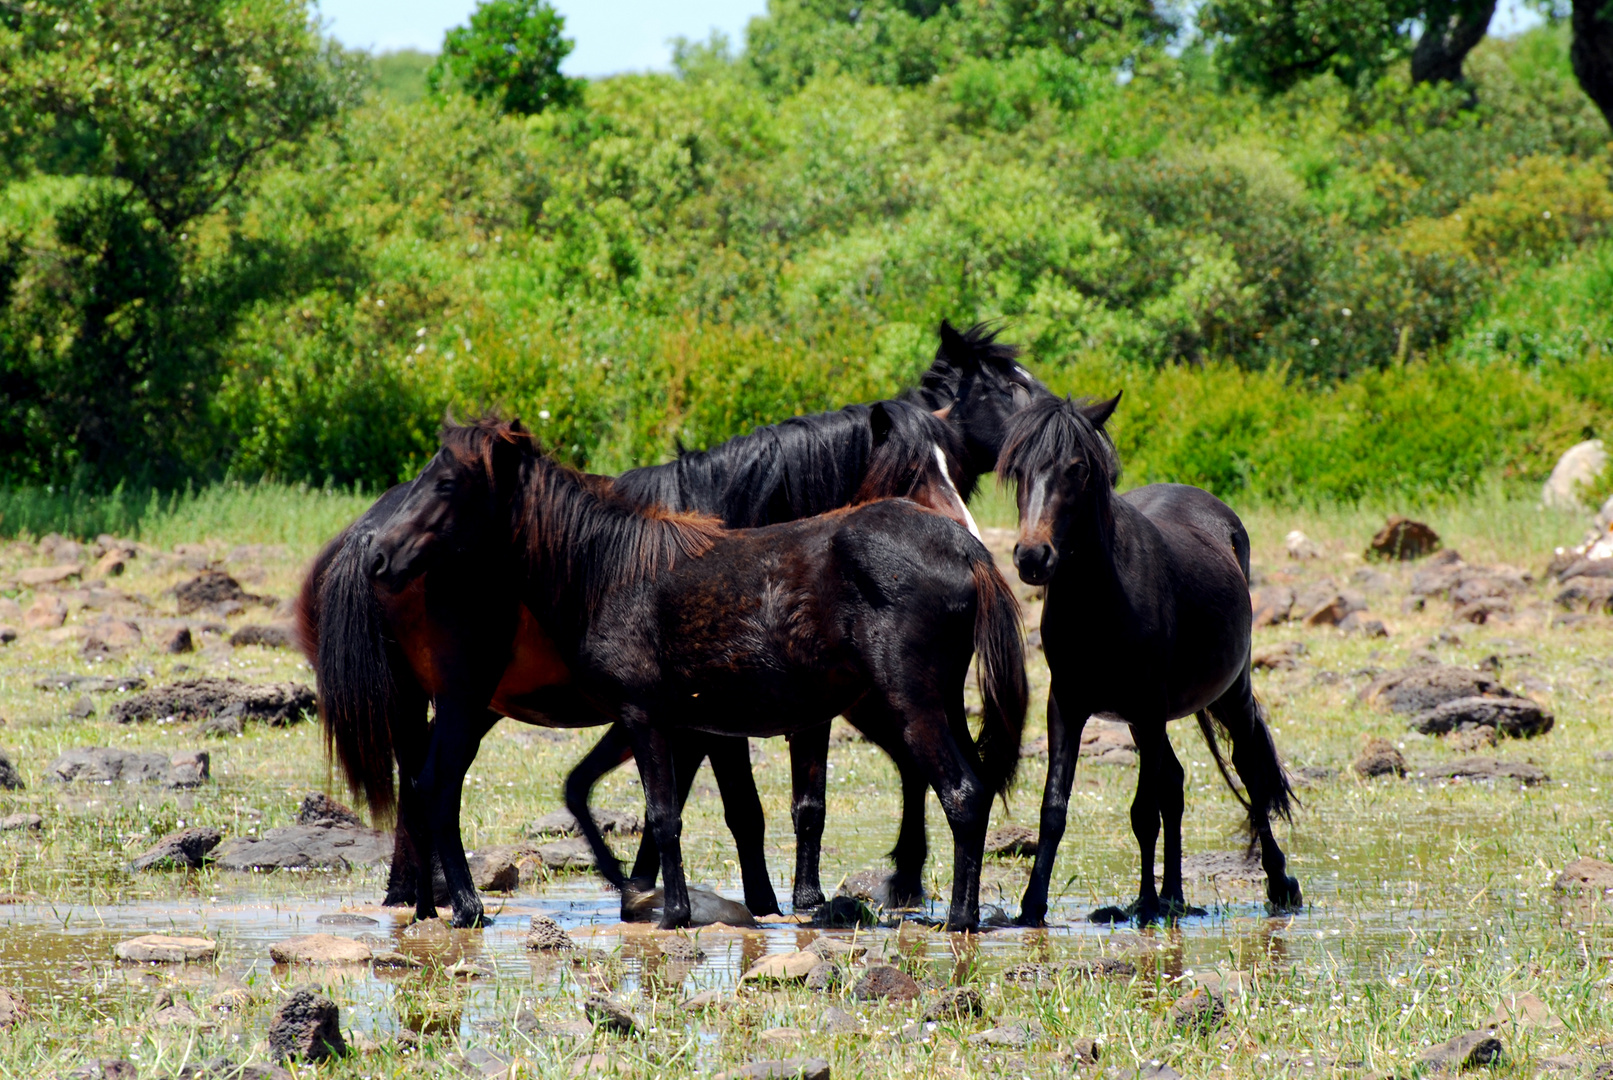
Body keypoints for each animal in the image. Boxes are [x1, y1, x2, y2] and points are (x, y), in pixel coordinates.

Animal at [1000, 393, 1303, 928]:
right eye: (1018, 469)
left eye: (1077, 468)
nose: (1033, 557)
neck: (1100, 601)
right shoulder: (1067, 705)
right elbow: (1054, 808)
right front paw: (1032, 905)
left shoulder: (1146, 705)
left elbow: (1143, 812)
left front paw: (1143, 905)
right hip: (1148, 721)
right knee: (1175, 785)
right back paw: (1175, 895)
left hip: (1229, 693)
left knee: (1248, 772)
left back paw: (1277, 883)